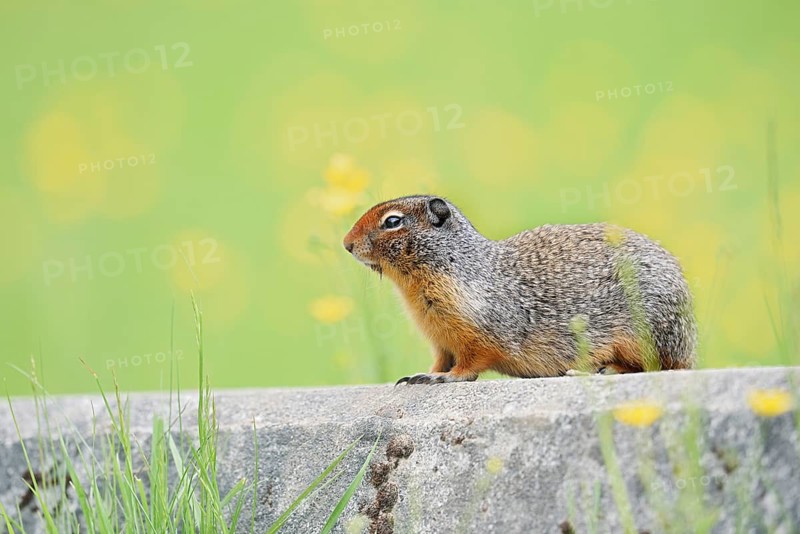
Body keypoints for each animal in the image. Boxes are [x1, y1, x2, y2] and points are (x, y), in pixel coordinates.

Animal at [343, 195, 697, 385]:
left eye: (392, 221)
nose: (346, 244)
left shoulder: (479, 331)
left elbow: (469, 363)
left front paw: (447, 378)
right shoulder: (441, 340)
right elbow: (440, 360)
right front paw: (422, 374)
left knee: (658, 365)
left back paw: (601, 369)